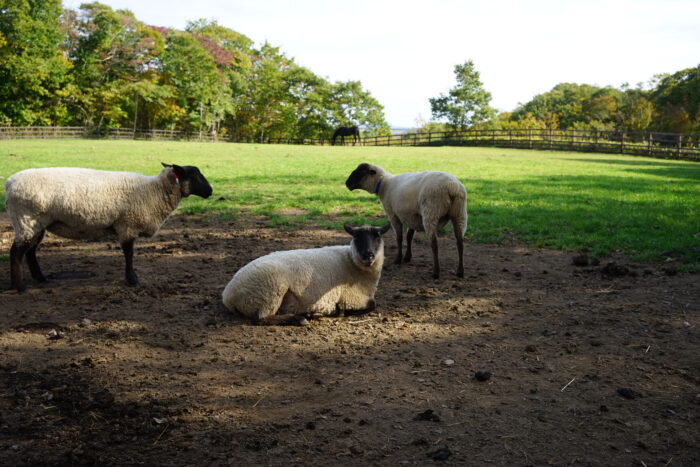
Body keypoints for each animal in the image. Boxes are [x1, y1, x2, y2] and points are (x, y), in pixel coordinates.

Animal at [5, 163, 212, 290]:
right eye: (195, 174)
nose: (210, 191)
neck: (154, 191)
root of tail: (9, 182)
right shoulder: (127, 225)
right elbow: (129, 254)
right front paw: (132, 280)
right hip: (26, 220)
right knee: (16, 252)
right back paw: (19, 286)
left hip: (36, 224)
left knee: (30, 252)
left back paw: (40, 278)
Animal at [221, 225, 392, 328]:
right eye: (356, 237)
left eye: (378, 237)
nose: (368, 255)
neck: (351, 260)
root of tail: (228, 296)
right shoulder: (350, 297)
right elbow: (371, 304)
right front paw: (340, 311)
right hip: (270, 290)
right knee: (262, 319)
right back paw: (299, 319)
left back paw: (307, 314)